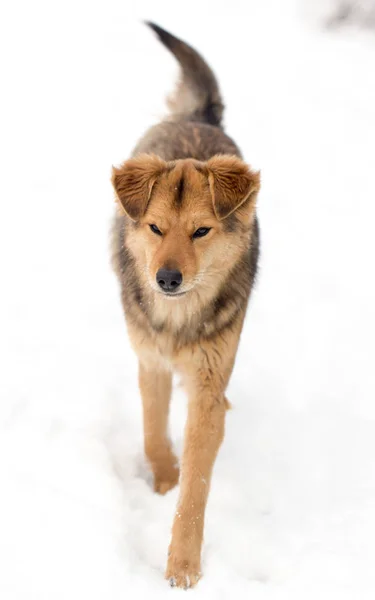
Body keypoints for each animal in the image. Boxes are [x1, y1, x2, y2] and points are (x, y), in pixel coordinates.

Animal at [110, 22, 260, 584]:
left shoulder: (208, 382)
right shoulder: (150, 359)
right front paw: (163, 480)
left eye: (201, 231)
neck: (177, 321)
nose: (167, 278)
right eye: (156, 228)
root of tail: (199, 117)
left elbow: (197, 486)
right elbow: (154, 432)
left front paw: (182, 565)